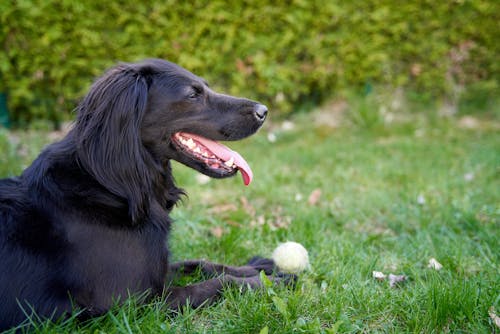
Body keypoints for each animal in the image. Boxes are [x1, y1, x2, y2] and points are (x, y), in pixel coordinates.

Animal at [0, 58, 290, 330]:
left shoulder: (156, 271)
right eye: (192, 94)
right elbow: (217, 284)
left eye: (205, 87)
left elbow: (201, 263)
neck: (111, 187)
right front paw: (271, 282)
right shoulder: (129, 307)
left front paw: (262, 267)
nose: (263, 111)